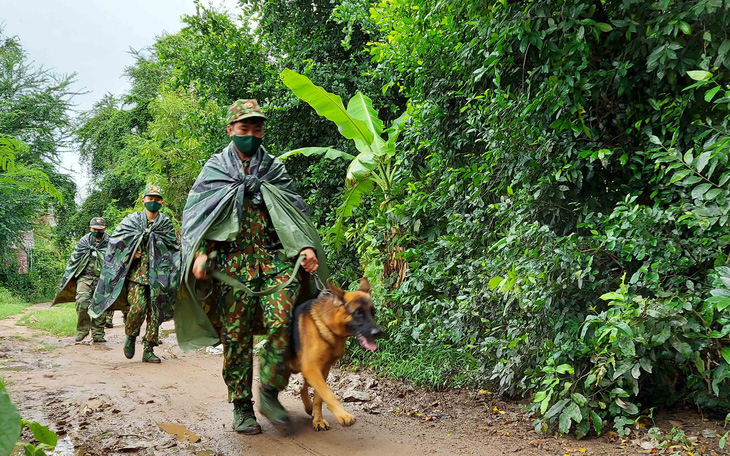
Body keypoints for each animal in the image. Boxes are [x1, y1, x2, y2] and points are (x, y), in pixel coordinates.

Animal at [290, 278, 382, 432]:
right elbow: (328, 394)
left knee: (303, 388)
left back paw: (309, 408)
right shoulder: (311, 368)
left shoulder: (323, 370)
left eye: (373, 312)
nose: (378, 333)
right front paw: (343, 415)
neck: (327, 325)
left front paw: (318, 420)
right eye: (358, 312)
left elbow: (319, 397)